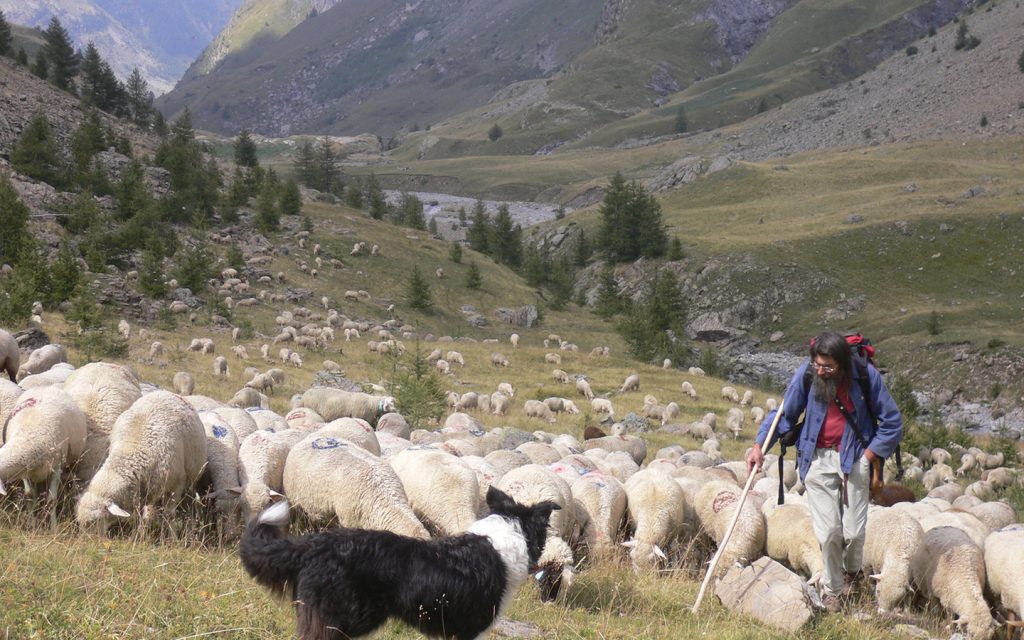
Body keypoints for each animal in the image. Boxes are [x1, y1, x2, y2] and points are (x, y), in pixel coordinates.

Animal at [0, 387, 87, 527]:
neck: (27, 439)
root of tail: (46, 387)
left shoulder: (56, 466)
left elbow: (52, 500)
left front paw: (53, 527)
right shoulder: (25, 469)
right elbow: (29, 495)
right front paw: (31, 524)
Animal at [76, 391, 207, 536]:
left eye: (96, 520)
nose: (88, 539)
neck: (133, 449)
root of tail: (166, 392)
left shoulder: (177, 485)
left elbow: (170, 514)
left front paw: (172, 538)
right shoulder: (142, 492)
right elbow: (140, 516)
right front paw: (138, 535)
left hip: (191, 480)